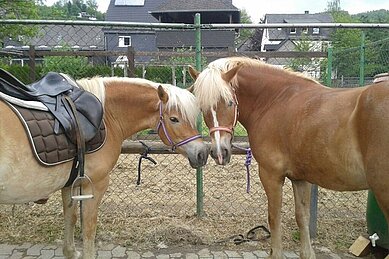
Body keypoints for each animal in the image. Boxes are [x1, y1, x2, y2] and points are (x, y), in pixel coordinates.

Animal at [0, 76, 208, 258]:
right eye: (174, 119)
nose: (202, 153)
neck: (107, 116)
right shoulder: (94, 185)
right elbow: (88, 228)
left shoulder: (70, 183)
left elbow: (71, 217)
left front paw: (71, 252)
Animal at [189, 56, 388, 259]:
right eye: (202, 107)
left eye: (230, 102)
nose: (220, 152)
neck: (274, 101)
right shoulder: (300, 179)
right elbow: (302, 217)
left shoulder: (271, 175)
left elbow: (274, 217)